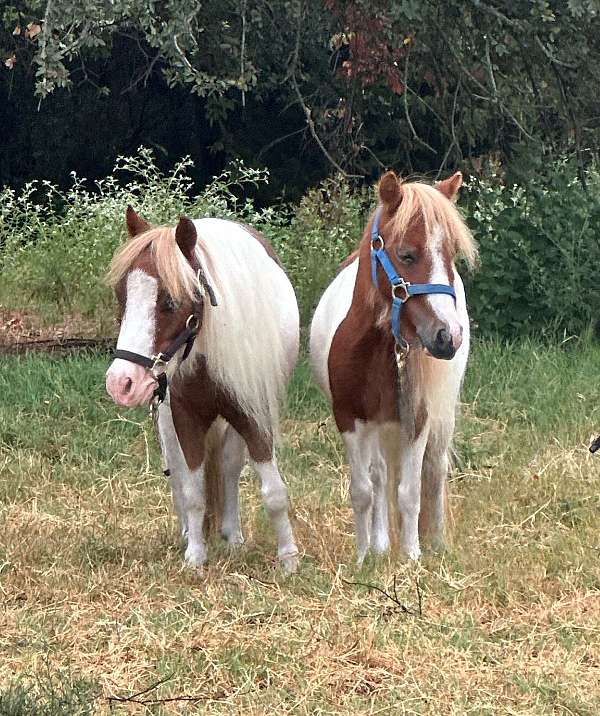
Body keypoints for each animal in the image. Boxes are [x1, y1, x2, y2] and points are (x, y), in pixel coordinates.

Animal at [105, 207, 300, 572]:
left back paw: (233, 535)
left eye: (170, 302)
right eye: (122, 297)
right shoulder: (183, 416)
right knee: (177, 471)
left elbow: (272, 491)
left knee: (229, 466)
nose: (121, 383)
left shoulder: (253, 413)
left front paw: (289, 558)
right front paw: (195, 555)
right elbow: (193, 490)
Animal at [312, 171, 476, 564]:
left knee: (434, 470)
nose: (448, 336)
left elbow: (410, 491)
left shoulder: (417, 418)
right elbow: (363, 490)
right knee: (380, 475)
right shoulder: (350, 418)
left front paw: (413, 555)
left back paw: (435, 541)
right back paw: (381, 543)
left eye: (451, 255)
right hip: (378, 425)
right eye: (406, 254)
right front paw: (363, 557)